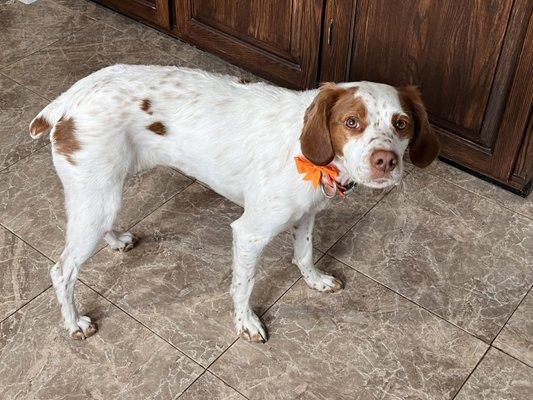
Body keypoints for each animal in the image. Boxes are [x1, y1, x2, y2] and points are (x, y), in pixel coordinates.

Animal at [29, 64, 438, 342]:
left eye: (401, 124)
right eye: (351, 122)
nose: (386, 161)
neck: (311, 155)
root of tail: (72, 96)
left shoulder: (307, 212)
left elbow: (304, 253)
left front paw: (316, 281)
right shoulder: (249, 233)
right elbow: (245, 284)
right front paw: (247, 324)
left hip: (106, 190)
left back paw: (115, 240)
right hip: (97, 195)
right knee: (62, 271)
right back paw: (74, 324)